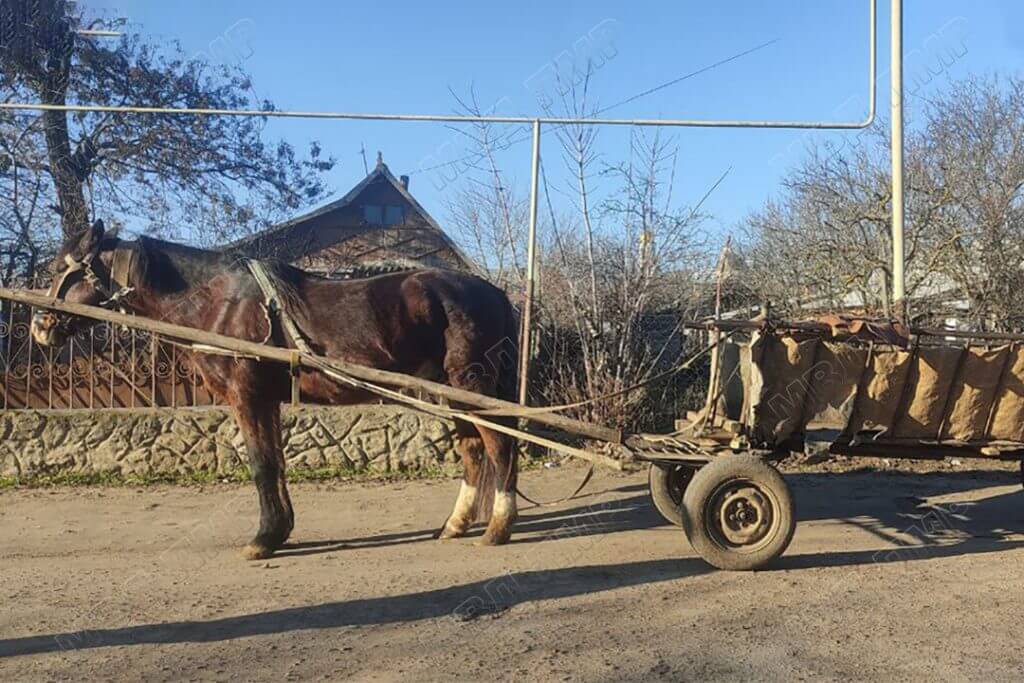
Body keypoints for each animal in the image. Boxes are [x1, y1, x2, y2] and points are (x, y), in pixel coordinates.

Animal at [32, 222, 520, 557]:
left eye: (61, 269)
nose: (40, 327)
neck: (218, 305)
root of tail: (495, 291)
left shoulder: (246, 396)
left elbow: (261, 465)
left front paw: (263, 538)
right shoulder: (266, 400)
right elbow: (276, 463)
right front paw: (280, 530)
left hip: (471, 381)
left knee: (499, 445)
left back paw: (498, 528)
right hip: (451, 389)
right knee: (473, 449)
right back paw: (456, 524)